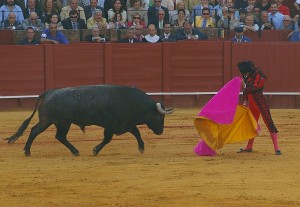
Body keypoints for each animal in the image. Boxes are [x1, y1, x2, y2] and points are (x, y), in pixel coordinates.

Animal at [5, 85, 175, 156]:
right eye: (159, 116)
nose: (160, 132)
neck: (131, 102)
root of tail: (48, 92)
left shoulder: (125, 124)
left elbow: (137, 133)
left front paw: (141, 148)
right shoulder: (112, 126)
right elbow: (107, 139)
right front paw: (95, 150)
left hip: (50, 121)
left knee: (41, 132)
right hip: (60, 122)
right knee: (52, 135)